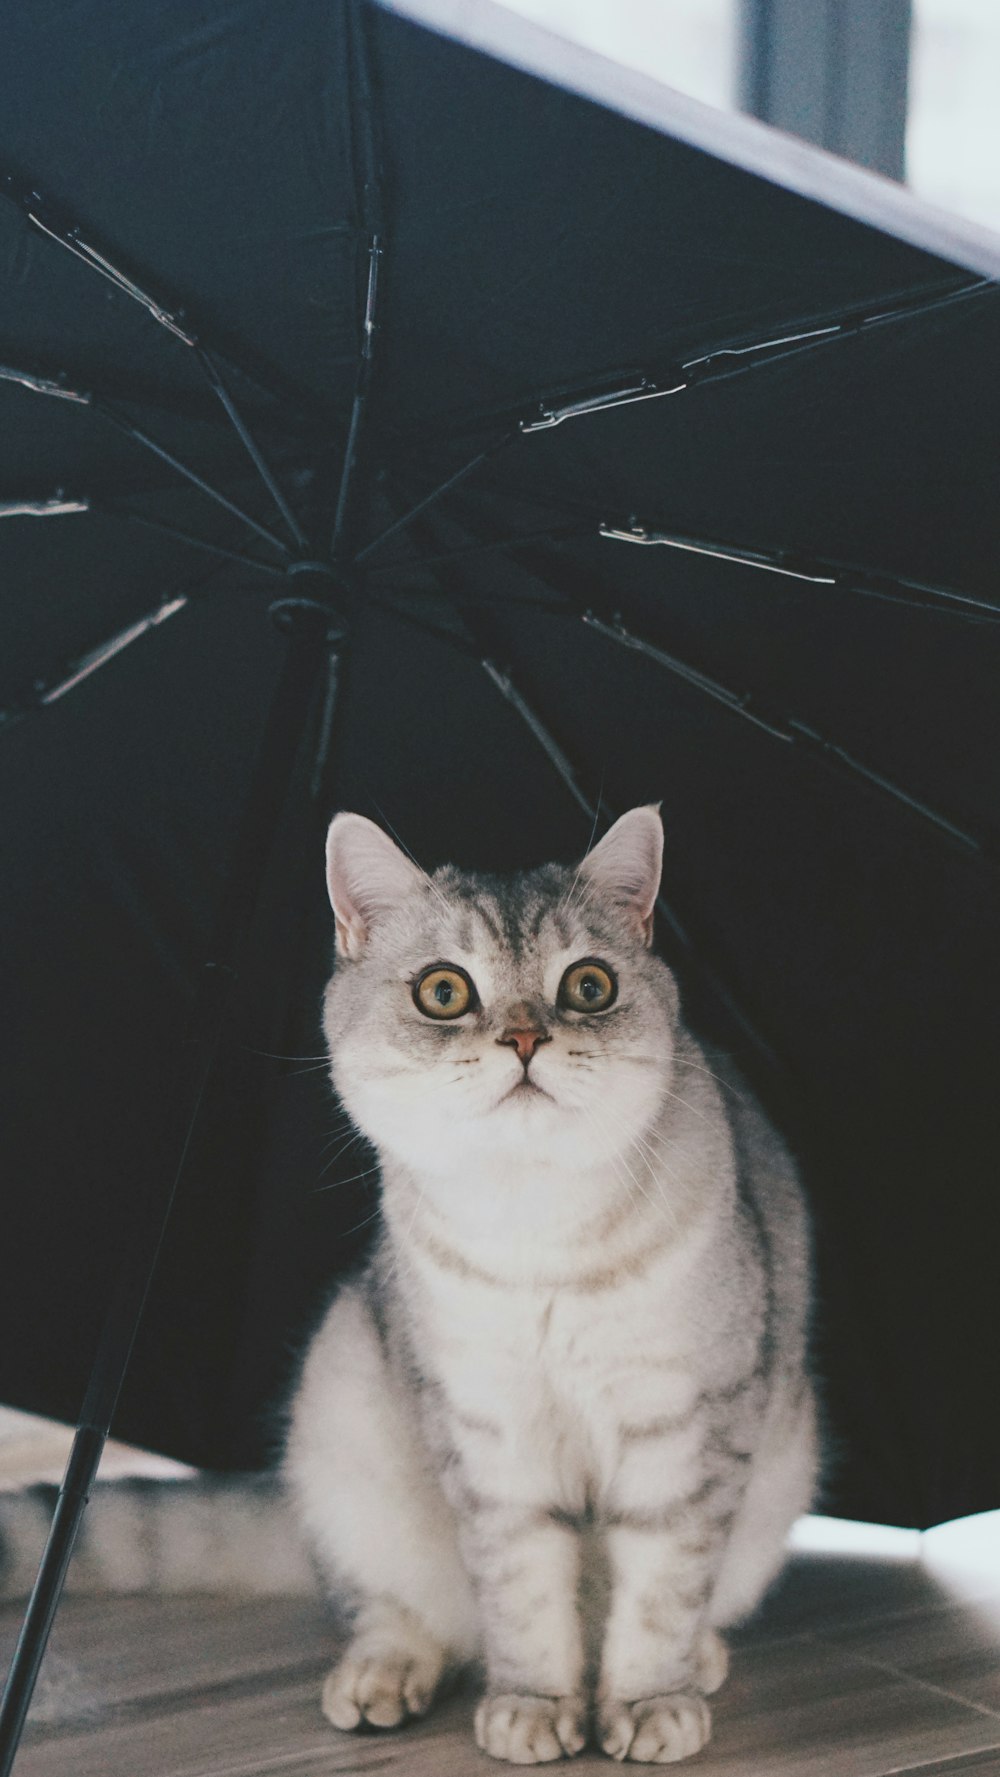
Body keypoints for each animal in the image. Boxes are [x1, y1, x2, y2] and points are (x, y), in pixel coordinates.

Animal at [284, 806, 820, 1762]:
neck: (536, 1225)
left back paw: (700, 1660)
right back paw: (381, 1677)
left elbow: (662, 1587)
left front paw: (648, 1701)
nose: (527, 1038)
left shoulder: (684, 1421)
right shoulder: (488, 1432)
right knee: (400, 1611)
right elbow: (523, 1590)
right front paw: (533, 1705)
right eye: (444, 992)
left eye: (591, 986)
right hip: (339, 1419)